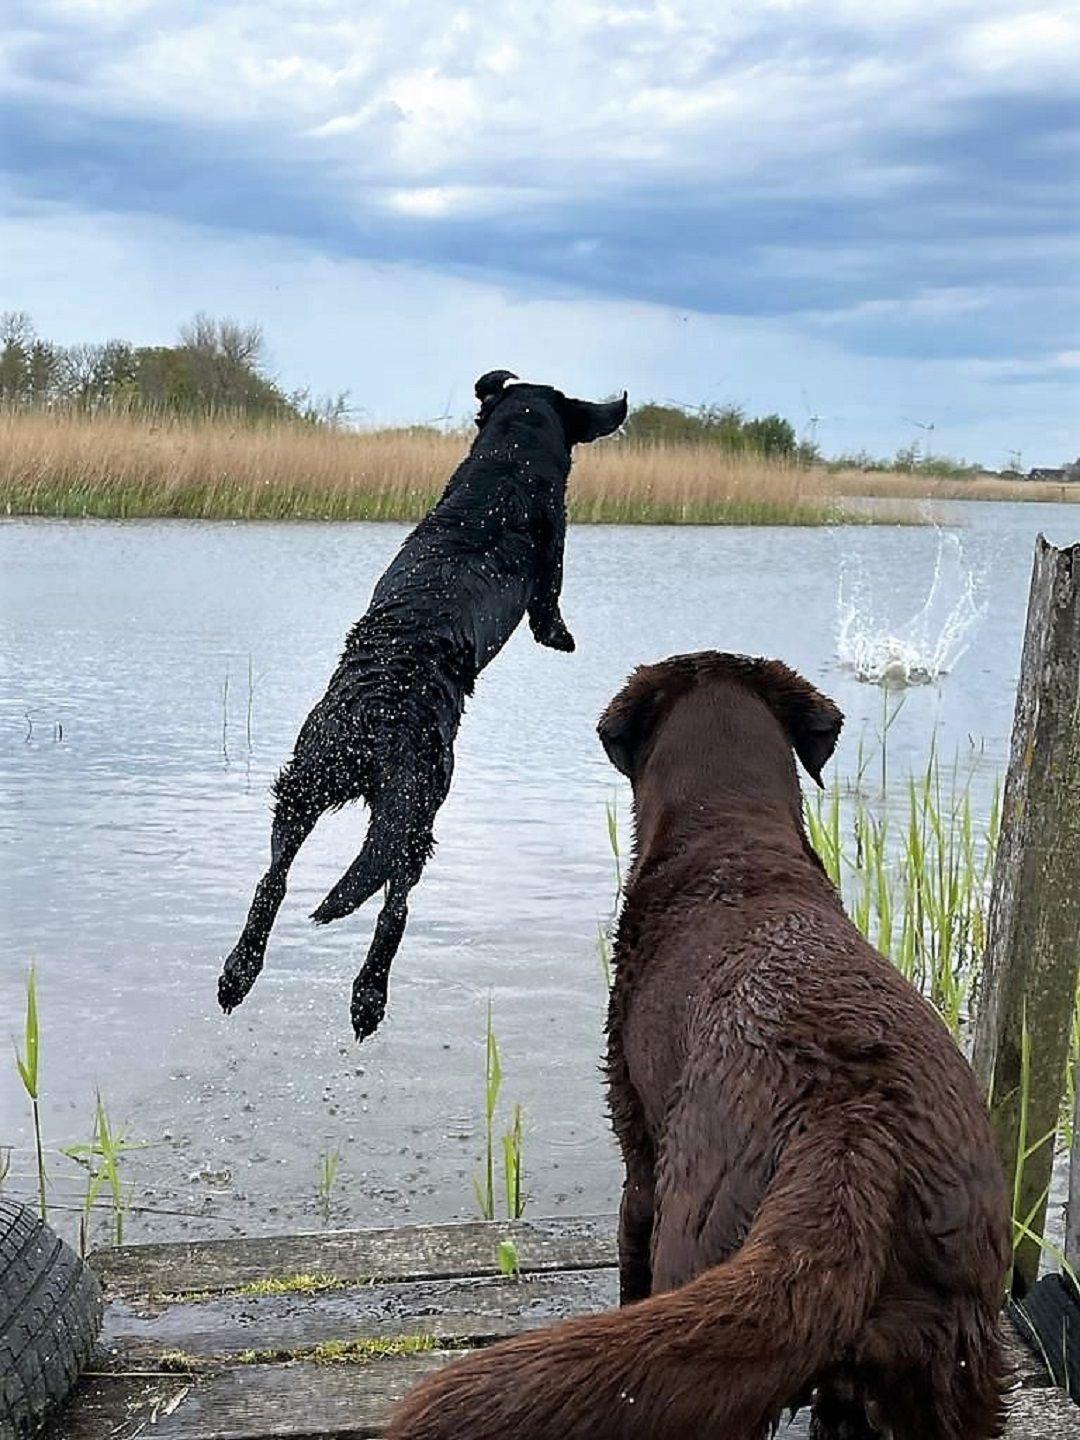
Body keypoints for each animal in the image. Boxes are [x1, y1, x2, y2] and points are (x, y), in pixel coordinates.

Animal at [217, 370, 627, 1041]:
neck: (504, 470)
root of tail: (374, 727)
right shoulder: (554, 551)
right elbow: (550, 611)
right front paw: (563, 637)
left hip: (304, 782)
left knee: (272, 881)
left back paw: (238, 974)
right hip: (419, 810)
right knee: (394, 908)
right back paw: (367, 999)